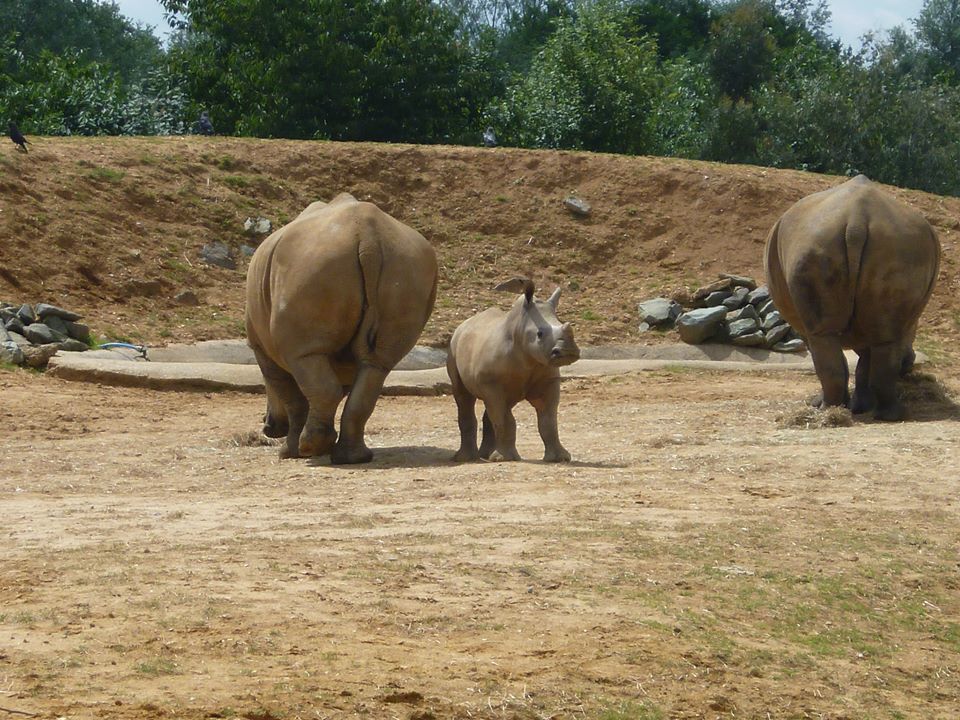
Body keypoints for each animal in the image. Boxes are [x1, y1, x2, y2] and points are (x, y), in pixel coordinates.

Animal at [245, 193, 438, 462]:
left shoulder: (260, 347)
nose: (268, 426)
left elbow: (291, 394)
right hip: (407, 266)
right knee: (377, 366)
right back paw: (353, 457)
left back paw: (309, 449)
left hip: (310, 264)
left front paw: (291, 453)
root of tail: (369, 239)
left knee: (309, 361)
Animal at [447, 278, 580, 462]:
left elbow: (548, 421)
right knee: (464, 397)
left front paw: (560, 458)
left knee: (496, 408)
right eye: (539, 334)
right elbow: (505, 419)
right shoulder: (491, 383)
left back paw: (486, 456)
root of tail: (463, 324)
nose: (568, 351)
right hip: (453, 347)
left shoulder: (548, 379)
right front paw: (506, 458)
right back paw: (466, 458)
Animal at [763, 175, 940, 420]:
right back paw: (883, 414)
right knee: (879, 339)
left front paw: (854, 406)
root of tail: (857, 220)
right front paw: (858, 406)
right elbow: (863, 361)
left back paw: (839, 410)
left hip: (816, 244)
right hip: (896, 249)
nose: (910, 362)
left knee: (827, 337)